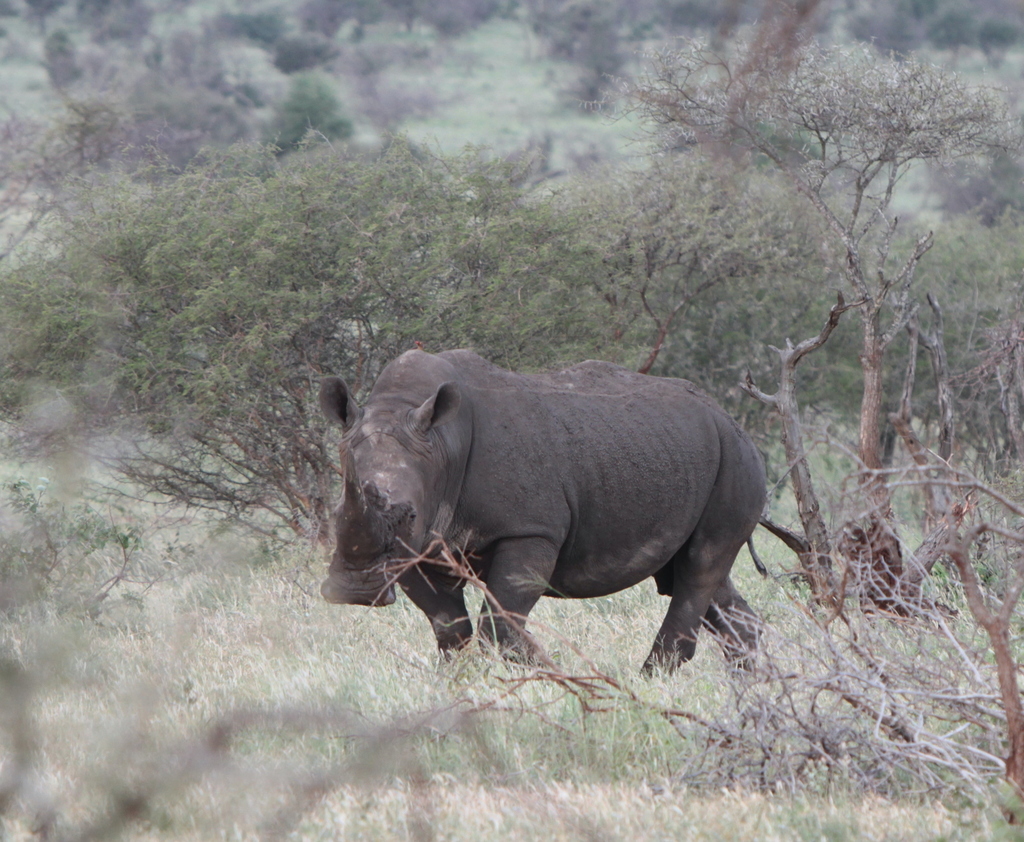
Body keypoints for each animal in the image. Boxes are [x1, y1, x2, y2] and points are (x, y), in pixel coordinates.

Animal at [318, 349, 766, 672]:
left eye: (408, 514)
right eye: (335, 512)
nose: (356, 592)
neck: (442, 443)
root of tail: (729, 418)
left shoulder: (529, 529)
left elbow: (500, 624)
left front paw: (541, 676)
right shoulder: (420, 544)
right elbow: (449, 628)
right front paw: (459, 680)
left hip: (735, 459)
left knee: (701, 564)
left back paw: (649, 685)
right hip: (685, 455)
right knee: (695, 577)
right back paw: (751, 687)